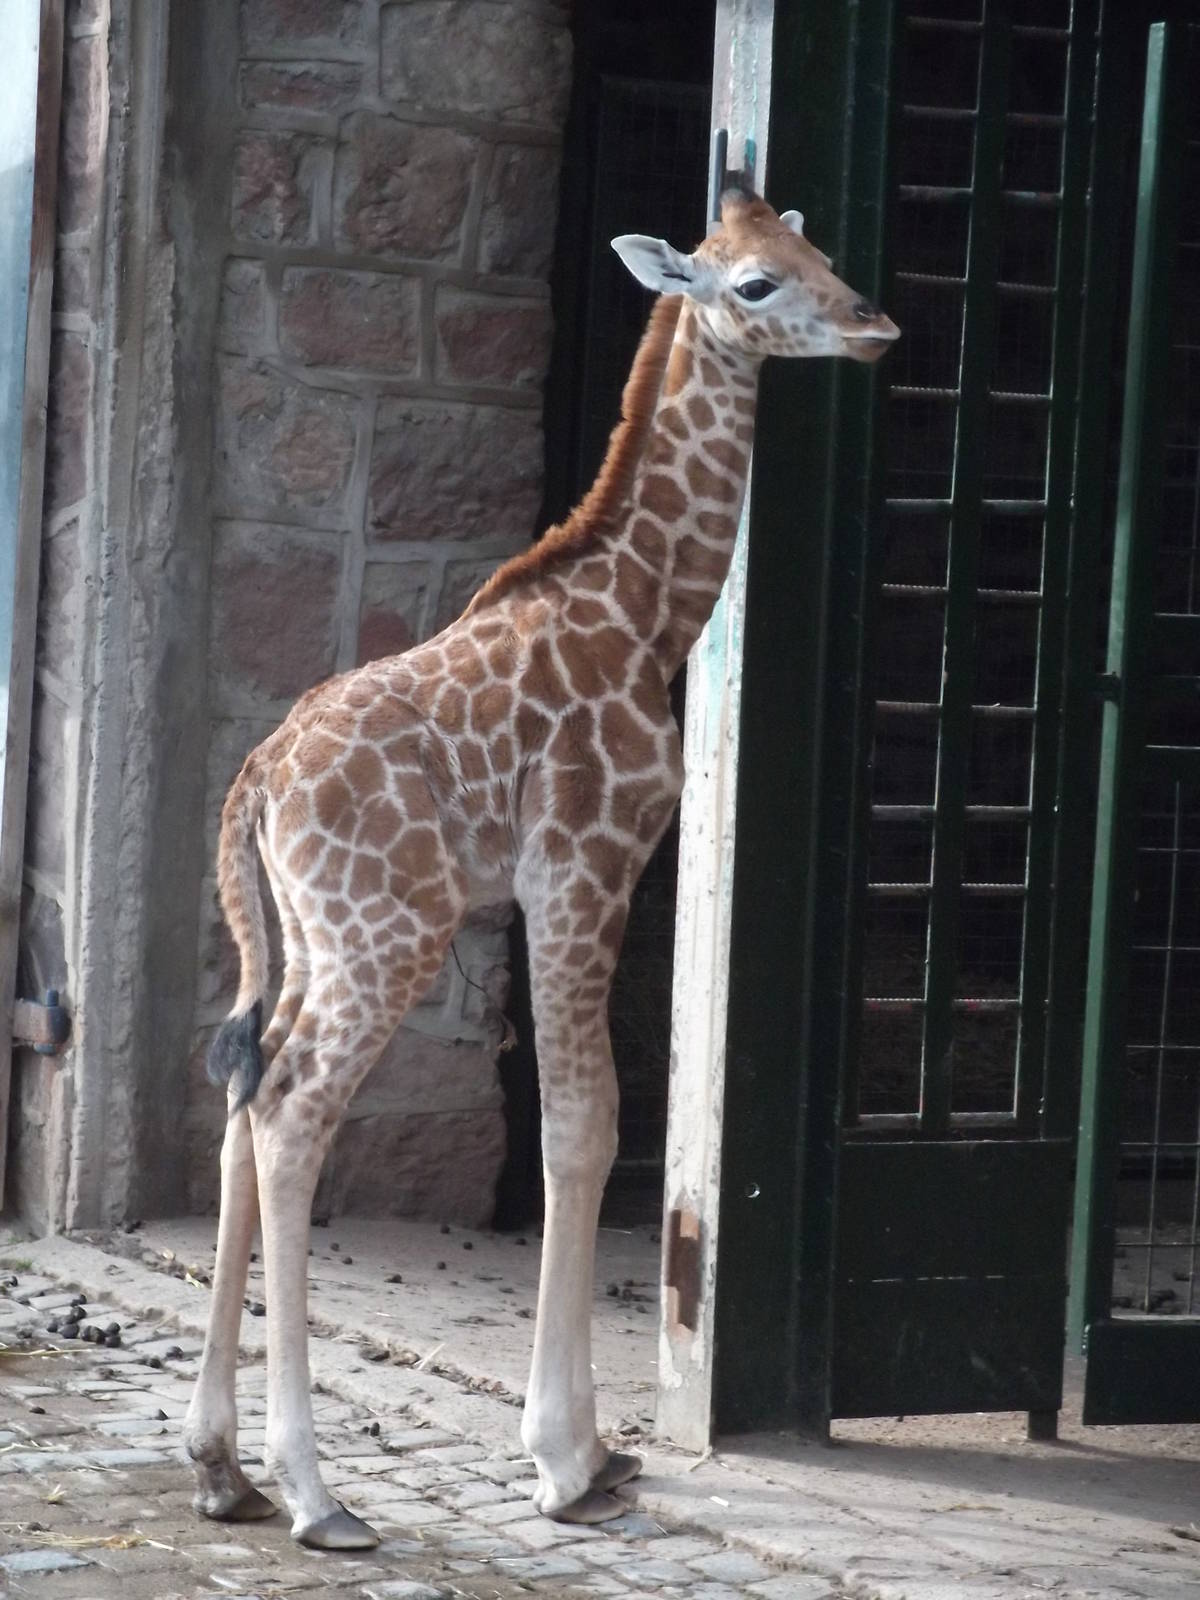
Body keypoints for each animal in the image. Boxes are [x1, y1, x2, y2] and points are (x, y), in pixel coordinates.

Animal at [182, 186, 898, 1550]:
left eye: (823, 253)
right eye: (756, 284)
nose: (875, 324)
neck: (647, 612)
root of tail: (256, 777)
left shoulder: (545, 891)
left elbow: (583, 1121)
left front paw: (591, 1450)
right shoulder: (585, 866)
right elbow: (587, 1124)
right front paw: (571, 1458)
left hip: (309, 937)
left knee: (244, 1096)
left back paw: (219, 1465)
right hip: (387, 935)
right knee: (293, 1111)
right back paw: (315, 1491)